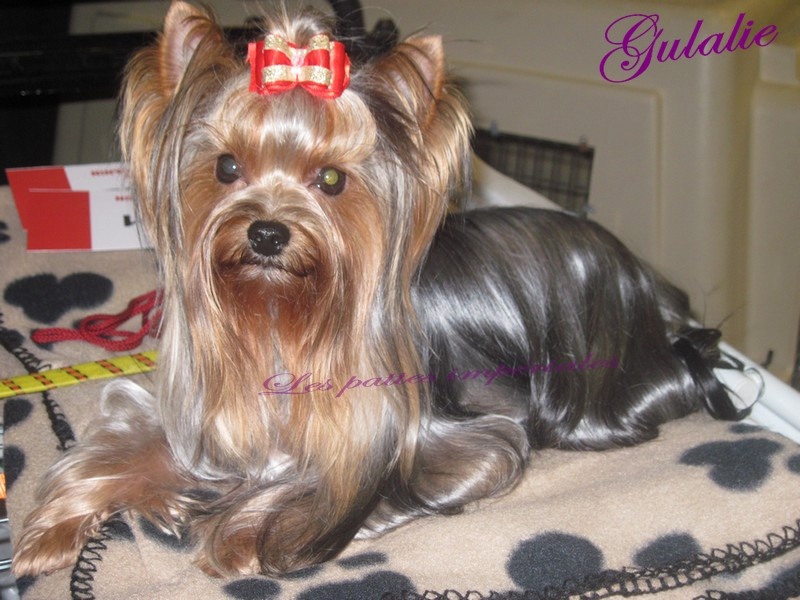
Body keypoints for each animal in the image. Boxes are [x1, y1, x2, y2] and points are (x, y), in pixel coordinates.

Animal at [12, 0, 744, 578]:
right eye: (225, 167)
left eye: (332, 180)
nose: (268, 233)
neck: (280, 318)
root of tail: (648, 283)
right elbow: (121, 445)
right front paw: (50, 532)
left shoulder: (462, 445)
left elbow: (333, 491)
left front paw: (244, 531)